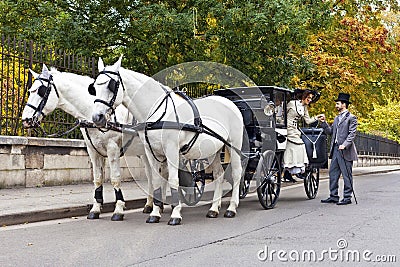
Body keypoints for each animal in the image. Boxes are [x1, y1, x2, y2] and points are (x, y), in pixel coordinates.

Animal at [21, 63, 165, 221]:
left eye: (41, 92)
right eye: (30, 91)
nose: (26, 120)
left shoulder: (113, 148)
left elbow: (115, 178)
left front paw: (118, 210)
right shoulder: (93, 150)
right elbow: (97, 179)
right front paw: (95, 209)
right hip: (147, 152)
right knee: (153, 176)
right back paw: (152, 205)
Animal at [90, 57, 244, 226]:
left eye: (111, 85)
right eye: (94, 88)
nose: (97, 117)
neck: (156, 112)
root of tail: (229, 103)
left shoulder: (171, 150)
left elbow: (173, 179)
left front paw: (175, 214)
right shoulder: (151, 152)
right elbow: (157, 180)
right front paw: (155, 213)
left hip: (234, 144)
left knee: (237, 172)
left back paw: (231, 208)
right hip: (212, 150)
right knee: (218, 174)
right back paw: (214, 209)